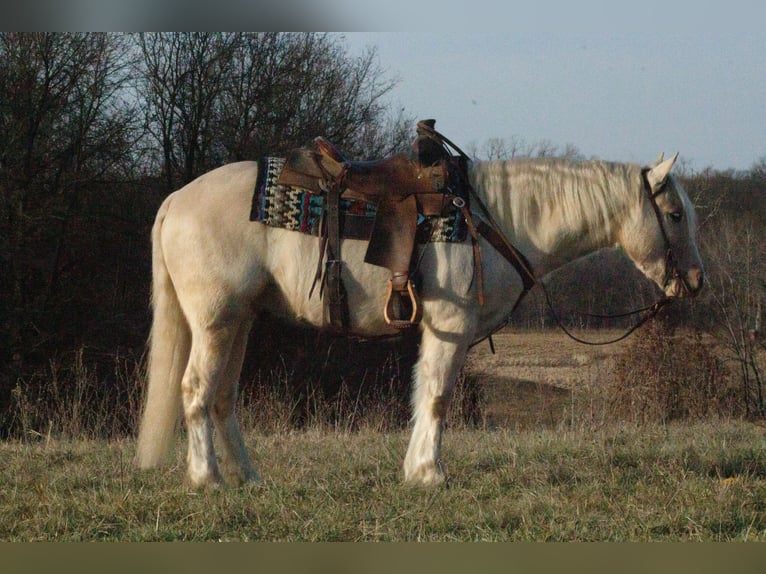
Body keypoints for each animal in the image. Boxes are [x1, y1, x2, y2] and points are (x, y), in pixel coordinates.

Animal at [135, 151, 704, 488]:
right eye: (675, 215)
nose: (696, 281)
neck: (491, 220)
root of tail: (176, 199)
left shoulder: (438, 329)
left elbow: (424, 391)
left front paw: (415, 469)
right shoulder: (450, 323)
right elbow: (437, 394)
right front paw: (431, 473)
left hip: (239, 322)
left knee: (222, 396)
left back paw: (247, 477)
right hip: (215, 321)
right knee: (195, 389)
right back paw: (206, 479)